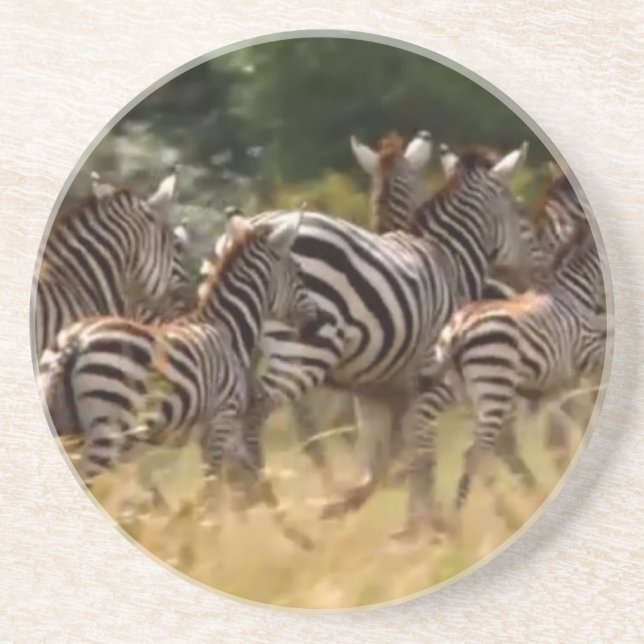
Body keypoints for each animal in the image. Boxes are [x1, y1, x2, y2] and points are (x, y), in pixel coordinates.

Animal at [38, 213, 329, 491]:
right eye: (299, 272)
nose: (317, 323)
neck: (227, 329)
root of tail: (75, 341)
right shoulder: (222, 419)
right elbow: (212, 488)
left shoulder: (207, 430)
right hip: (107, 427)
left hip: (69, 425)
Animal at [218, 143, 538, 530]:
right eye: (519, 208)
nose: (530, 279)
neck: (448, 258)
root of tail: (250, 227)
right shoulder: (431, 379)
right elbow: (418, 448)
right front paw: (425, 522)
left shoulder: (376, 391)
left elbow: (385, 456)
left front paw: (363, 506)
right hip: (305, 353)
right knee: (257, 418)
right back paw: (268, 503)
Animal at [430, 176, 606, 513]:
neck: (576, 290)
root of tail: (458, 329)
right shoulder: (586, 353)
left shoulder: (557, 380)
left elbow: (567, 420)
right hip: (494, 388)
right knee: (478, 452)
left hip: (468, 393)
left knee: (483, 451)